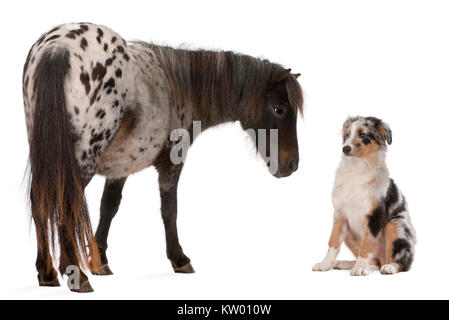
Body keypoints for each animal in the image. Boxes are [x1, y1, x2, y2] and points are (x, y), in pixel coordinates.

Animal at [23, 22, 304, 292]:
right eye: (279, 109)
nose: (292, 164)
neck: (178, 86)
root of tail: (57, 48)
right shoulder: (172, 162)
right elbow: (169, 209)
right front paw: (179, 259)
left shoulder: (121, 167)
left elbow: (109, 207)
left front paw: (100, 261)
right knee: (65, 204)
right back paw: (76, 276)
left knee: (40, 201)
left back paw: (47, 272)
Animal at [314, 116, 414, 276]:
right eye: (347, 134)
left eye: (362, 134)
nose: (345, 148)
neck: (357, 166)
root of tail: (381, 261)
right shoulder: (340, 215)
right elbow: (333, 242)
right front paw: (325, 264)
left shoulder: (375, 215)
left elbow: (367, 243)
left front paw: (360, 267)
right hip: (349, 233)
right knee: (374, 263)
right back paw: (346, 264)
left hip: (395, 224)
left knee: (402, 264)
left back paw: (388, 267)